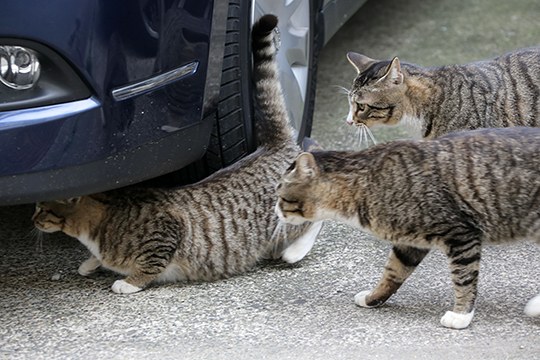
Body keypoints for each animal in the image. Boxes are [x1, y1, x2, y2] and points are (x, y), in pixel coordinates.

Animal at [32, 15, 320, 294]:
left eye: (42, 208)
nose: (33, 219)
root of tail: (273, 145)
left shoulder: (166, 231)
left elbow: (149, 265)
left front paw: (128, 282)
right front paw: (92, 263)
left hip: (285, 216)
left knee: (314, 220)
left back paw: (294, 251)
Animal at [276, 126, 540, 330]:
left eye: (280, 195)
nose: (276, 211)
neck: (365, 185)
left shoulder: (461, 234)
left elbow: (464, 278)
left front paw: (461, 315)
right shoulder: (409, 243)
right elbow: (393, 273)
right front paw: (373, 298)